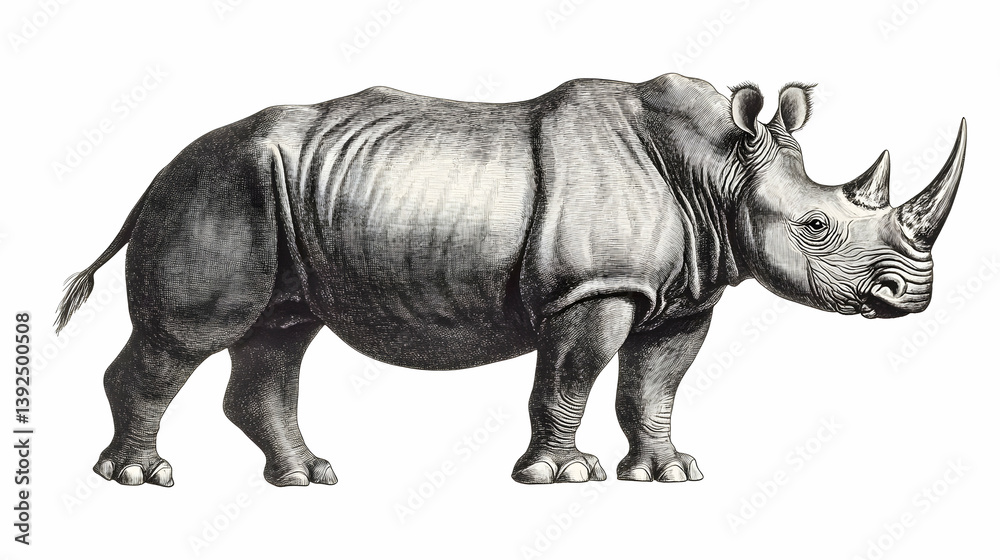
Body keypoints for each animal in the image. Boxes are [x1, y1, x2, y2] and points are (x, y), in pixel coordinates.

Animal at [55, 73, 966, 487]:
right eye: (816, 226)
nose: (911, 298)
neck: (717, 172)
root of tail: (158, 173)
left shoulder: (683, 293)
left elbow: (653, 387)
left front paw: (667, 473)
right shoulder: (592, 289)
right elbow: (568, 380)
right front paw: (562, 477)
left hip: (269, 198)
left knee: (279, 333)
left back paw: (308, 479)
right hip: (218, 188)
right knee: (191, 337)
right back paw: (138, 481)